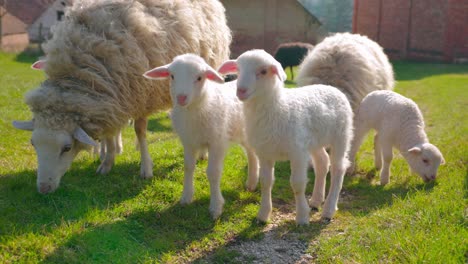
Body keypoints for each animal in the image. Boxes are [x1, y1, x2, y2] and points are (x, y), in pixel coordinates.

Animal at [13, 0, 233, 194]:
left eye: (66, 148)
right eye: (33, 144)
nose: (43, 189)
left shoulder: (141, 95)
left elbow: (140, 131)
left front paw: (146, 168)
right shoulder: (112, 101)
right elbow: (110, 134)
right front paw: (107, 161)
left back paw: (202, 153)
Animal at [144, 53, 260, 219]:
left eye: (199, 78)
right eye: (172, 76)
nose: (181, 97)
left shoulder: (217, 142)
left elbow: (213, 173)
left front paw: (216, 207)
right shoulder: (188, 141)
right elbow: (188, 167)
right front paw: (186, 197)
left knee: (252, 153)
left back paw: (252, 181)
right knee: (251, 153)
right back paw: (251, 183)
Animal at [218, 49, 352, 223]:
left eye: (263, 71)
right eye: (238, 70)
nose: (240, 91)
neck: (278, 106)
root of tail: (331, 88)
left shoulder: (297, 153)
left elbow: (298, 184)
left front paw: (302, 217)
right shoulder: (265, 152)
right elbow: (266, 182)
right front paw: (263, 215)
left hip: (341, 136)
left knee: (338, 169)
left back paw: (328, 210)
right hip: (314, 141)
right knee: (322, 163)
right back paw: (316, 201)